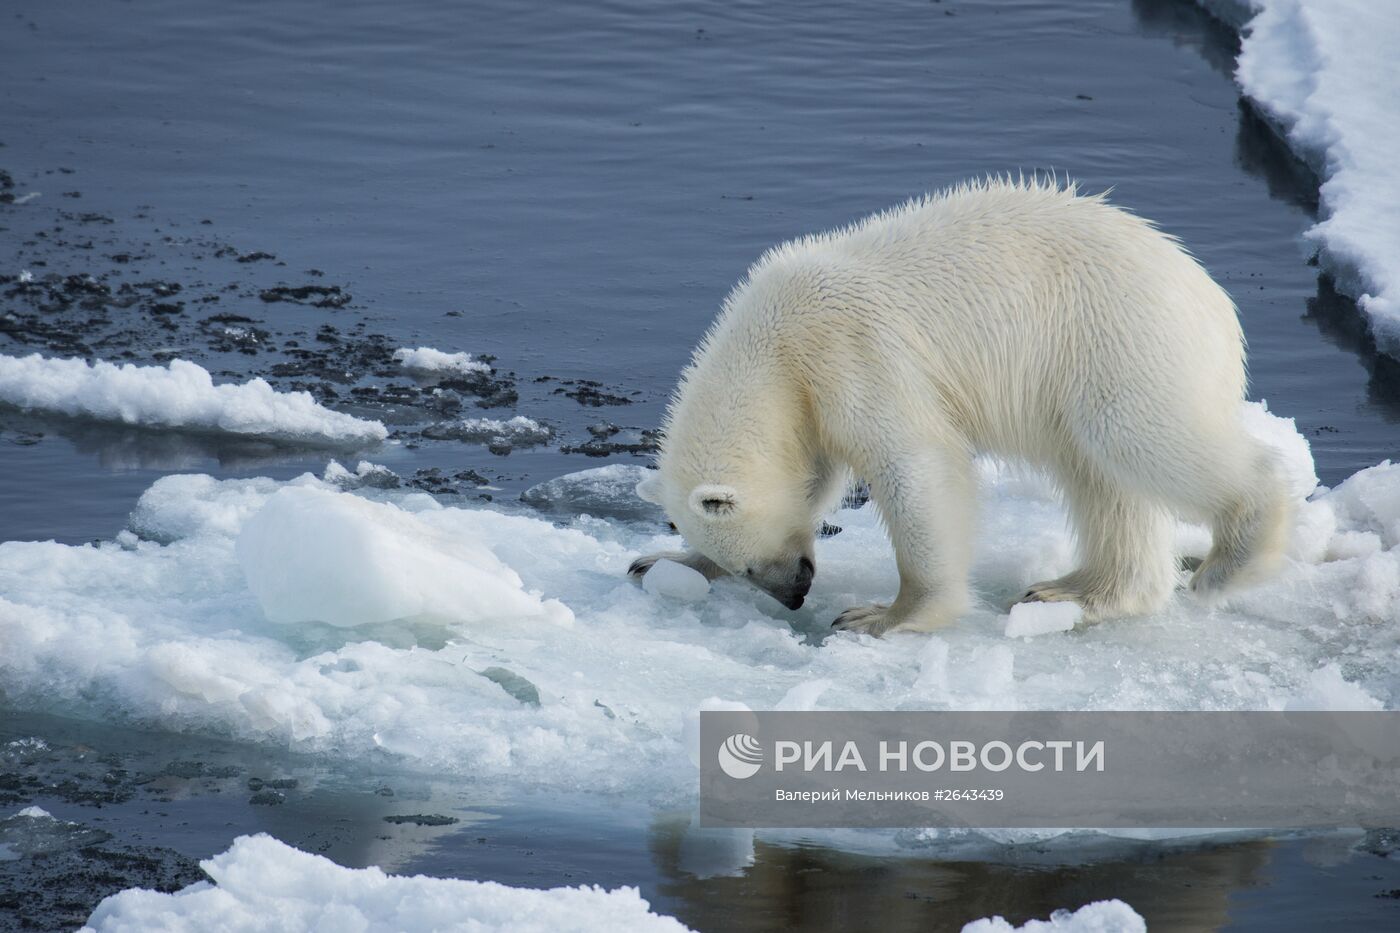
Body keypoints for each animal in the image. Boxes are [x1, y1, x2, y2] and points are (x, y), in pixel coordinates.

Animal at [635, 176, 1288, 633]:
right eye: (744, 568)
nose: (796, 595)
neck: (775, 346)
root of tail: (1211, 298)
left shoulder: (853, 354)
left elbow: (917, 465)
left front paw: (883, 617)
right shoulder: (809, 401)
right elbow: (816, 475)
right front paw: (663, 563)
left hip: (1119, 340)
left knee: (1138, 438)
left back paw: (1231, 559)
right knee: (1104, 480)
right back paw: (1074, 591)